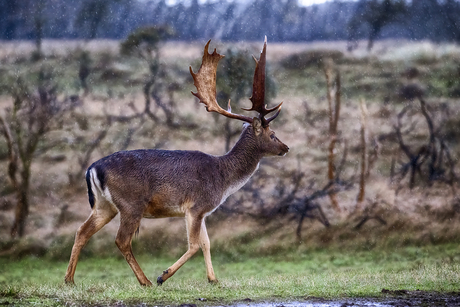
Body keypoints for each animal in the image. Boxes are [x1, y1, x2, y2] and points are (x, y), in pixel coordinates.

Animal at [63, 38, 288, 286]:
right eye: (273, 134)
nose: (286, 148)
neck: (223, 178)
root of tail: (92, 169)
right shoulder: (196, 206)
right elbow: (195, 245)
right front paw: (163, 275)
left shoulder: (202, 211)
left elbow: (207, 243)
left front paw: (213, 279)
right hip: (131, 204)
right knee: (121, 240)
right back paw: (146, 281)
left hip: (104, 205)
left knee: (81, 231)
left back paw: (69, 279)